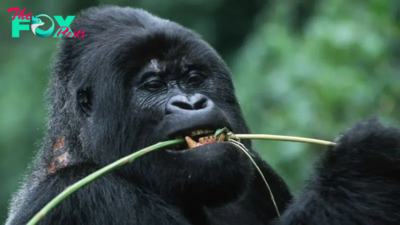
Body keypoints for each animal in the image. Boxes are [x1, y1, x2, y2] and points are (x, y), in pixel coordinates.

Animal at [5, 5, 400, 225]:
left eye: (193, 78)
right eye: (154, 85)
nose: (192, 103)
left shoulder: (258, 176)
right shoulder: (84, 195)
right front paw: (364, 165)